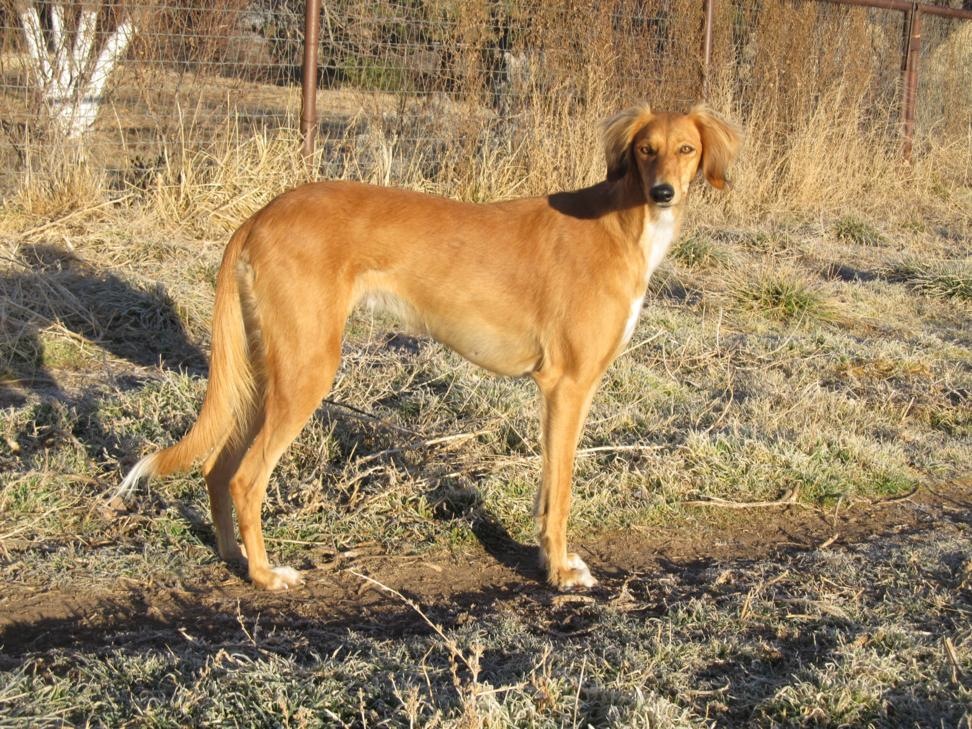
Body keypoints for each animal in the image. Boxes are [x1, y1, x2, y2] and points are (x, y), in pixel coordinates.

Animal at [123, 104, 744, 592]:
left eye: (686, 149)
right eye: (645, 149)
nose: (663, 192)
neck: (620, 225)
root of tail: (259, 215)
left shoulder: (557, 392)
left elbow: (547, 489)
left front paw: (548, 560)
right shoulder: (567, 386)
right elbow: (562, 491)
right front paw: (560, 572)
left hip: (264, 372)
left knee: (216, 468)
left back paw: (232, 557)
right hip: (306, 371)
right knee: (245, 479)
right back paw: (264, 574)